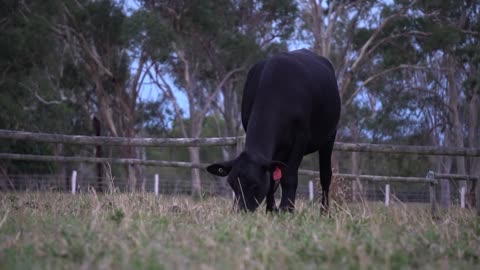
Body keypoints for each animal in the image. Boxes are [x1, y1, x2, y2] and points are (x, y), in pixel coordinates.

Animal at [208, 49, 340, 213]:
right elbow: (271, 179)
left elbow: (289, 177)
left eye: (255, 184)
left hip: (329, 138)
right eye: (232, 184)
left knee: (325, 176)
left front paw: (286, 209)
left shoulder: (300, 139)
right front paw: (271, 210)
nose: (240, 211)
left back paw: (324, 212)